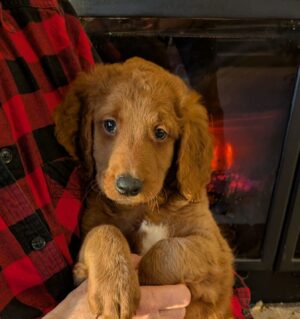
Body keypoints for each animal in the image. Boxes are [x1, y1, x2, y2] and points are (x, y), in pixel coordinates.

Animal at [55, 57, 236, 319]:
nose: (128, 187)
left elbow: (164, 251)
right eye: (109, 124)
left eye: (160, 133)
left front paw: (137, 279)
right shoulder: (93, 222)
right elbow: (104, 231)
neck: (146, 208)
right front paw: (114, 288)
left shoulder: (216, 253)